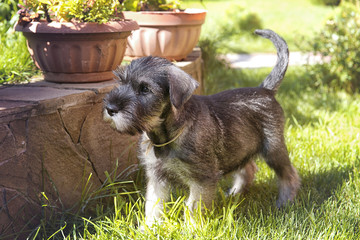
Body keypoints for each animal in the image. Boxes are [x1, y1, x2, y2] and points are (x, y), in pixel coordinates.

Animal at [103, 30, 300, 227]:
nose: (110, 108)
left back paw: (285, 202)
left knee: (289, 174)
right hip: (238, 146)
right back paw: (235, 194)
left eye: (145, 89)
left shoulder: (202, 179)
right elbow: (153, 204)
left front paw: (193, 228)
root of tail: (266, 90)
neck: (164, 136)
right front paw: (150, 227)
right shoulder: (156, 176)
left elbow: (193, 206)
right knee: (248, 168)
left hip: (273, 149)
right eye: (121, 82)